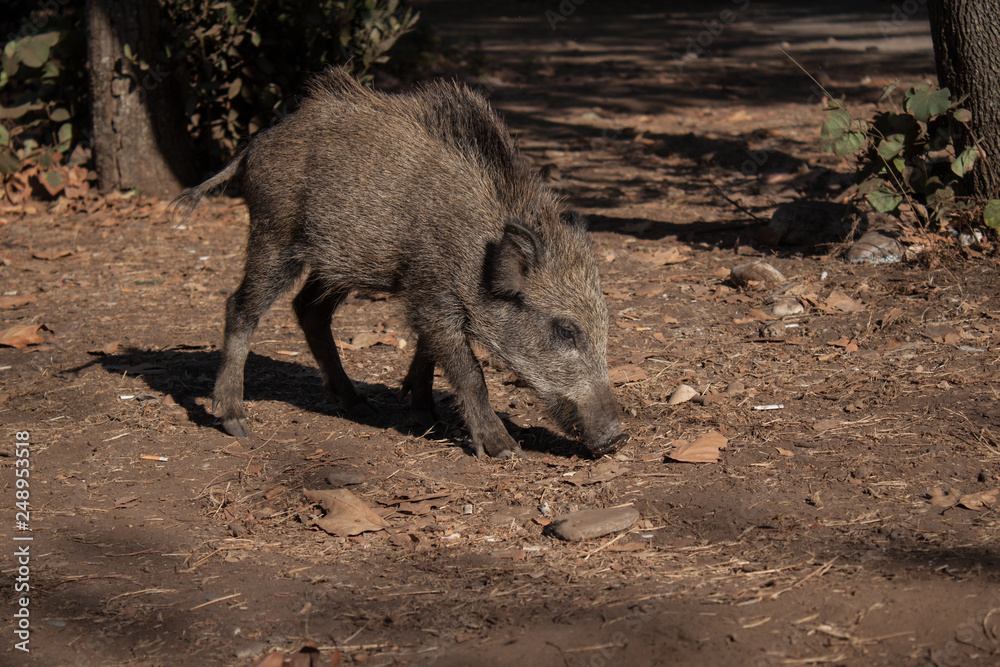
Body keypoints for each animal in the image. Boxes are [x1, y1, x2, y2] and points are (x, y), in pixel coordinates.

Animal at [173, 67, 627, 458]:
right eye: (566, 330)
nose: (617, 438)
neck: (476, 249)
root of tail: (252, 148)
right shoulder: (431, 290)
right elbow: (469, 371)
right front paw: (503, 449)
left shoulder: (422, 295)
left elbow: (428, 352)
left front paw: (424, 417)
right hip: (273, 234)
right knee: (240, 307)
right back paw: (236, 423)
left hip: (338, 259)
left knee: (308, 309)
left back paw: (360, 406)